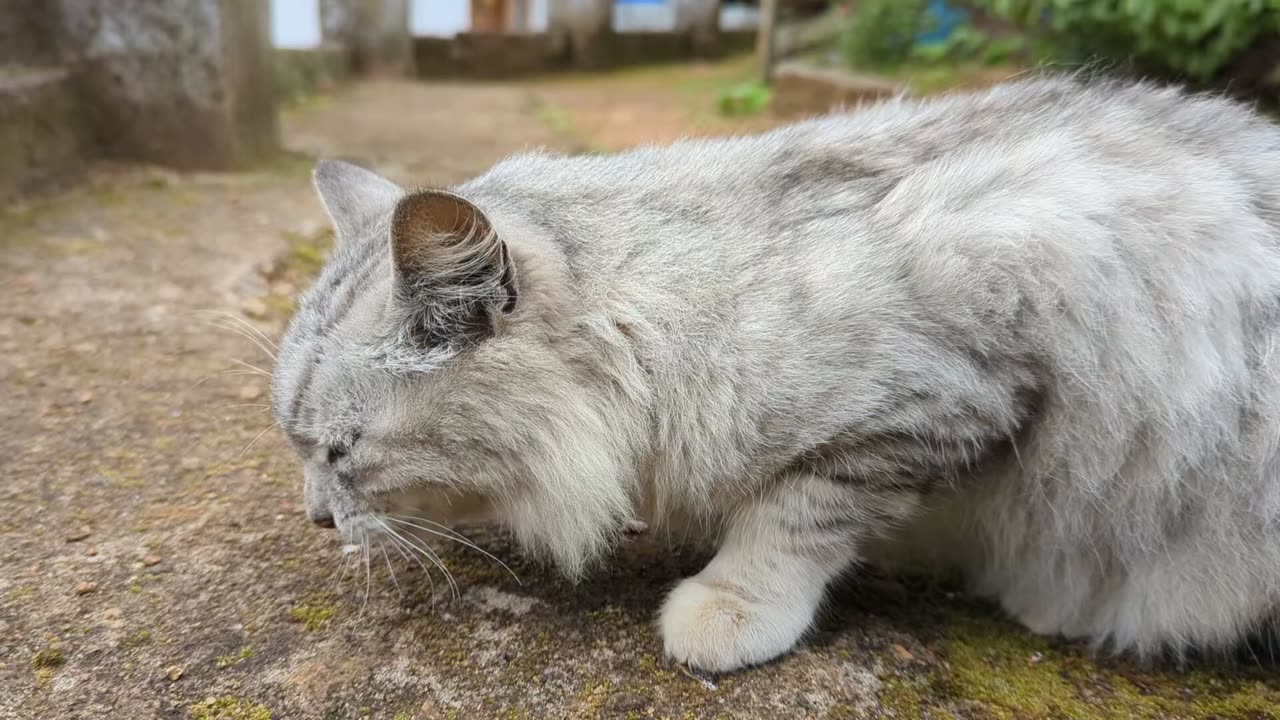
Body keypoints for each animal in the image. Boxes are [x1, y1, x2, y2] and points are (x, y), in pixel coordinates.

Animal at [270, 75, 1280, 671]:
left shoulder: (944, 387)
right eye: (301, 451)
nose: (315, 520)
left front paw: (727, 610)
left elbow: (791, 519)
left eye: (340, 451)